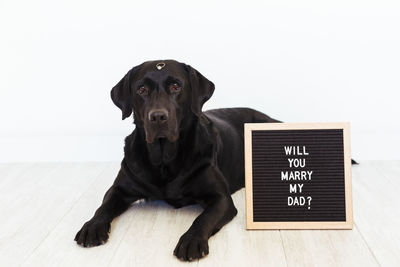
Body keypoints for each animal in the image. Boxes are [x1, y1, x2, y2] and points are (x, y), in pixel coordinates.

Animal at [76, 60, 278, 262]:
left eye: (175, 86)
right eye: (141, 89)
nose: (158, 117)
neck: (164, 161)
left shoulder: (221, 199)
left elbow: (203, 218)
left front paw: (191, 241)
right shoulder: (119, 188)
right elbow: (103, 206)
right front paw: (92, 226)